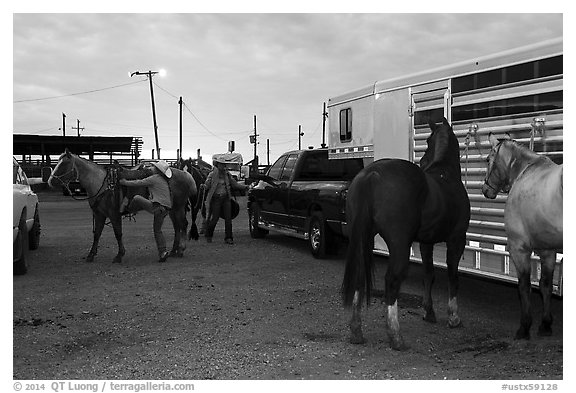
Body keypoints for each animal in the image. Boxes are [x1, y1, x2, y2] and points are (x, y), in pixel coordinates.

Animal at [47, 150, 196, 264]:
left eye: (64, 164)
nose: (50, 181)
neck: (102, 184)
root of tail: (185, 174)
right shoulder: (99, 214)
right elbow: (97, 234)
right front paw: (91, 255)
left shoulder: (114, 215)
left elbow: (118, 234)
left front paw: (119, 255)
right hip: (172, 209)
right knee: (177, 226)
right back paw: (173, 251)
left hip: (178, 207)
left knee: (183, 224)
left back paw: (180, 250)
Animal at [340, 117, 470, 350]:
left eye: (428, 140)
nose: (424, 162)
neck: (445, 174)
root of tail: (371, 174)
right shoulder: (457, 239)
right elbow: (452, 276)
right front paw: (453, 317)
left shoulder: (426, 243)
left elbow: (429, 275)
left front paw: (429, 312)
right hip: (400, 243)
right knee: (392, 280)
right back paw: (395, 336)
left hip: (363, 238)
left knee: (359, 276)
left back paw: (356, 331)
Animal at [482, 132, 564, 340]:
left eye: (488, 159)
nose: (485, 189)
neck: (525, 172)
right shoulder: (547, 249)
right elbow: (545, 285)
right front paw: (545, 324)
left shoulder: (519, 248)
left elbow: (524, 286)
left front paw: (524, 327)